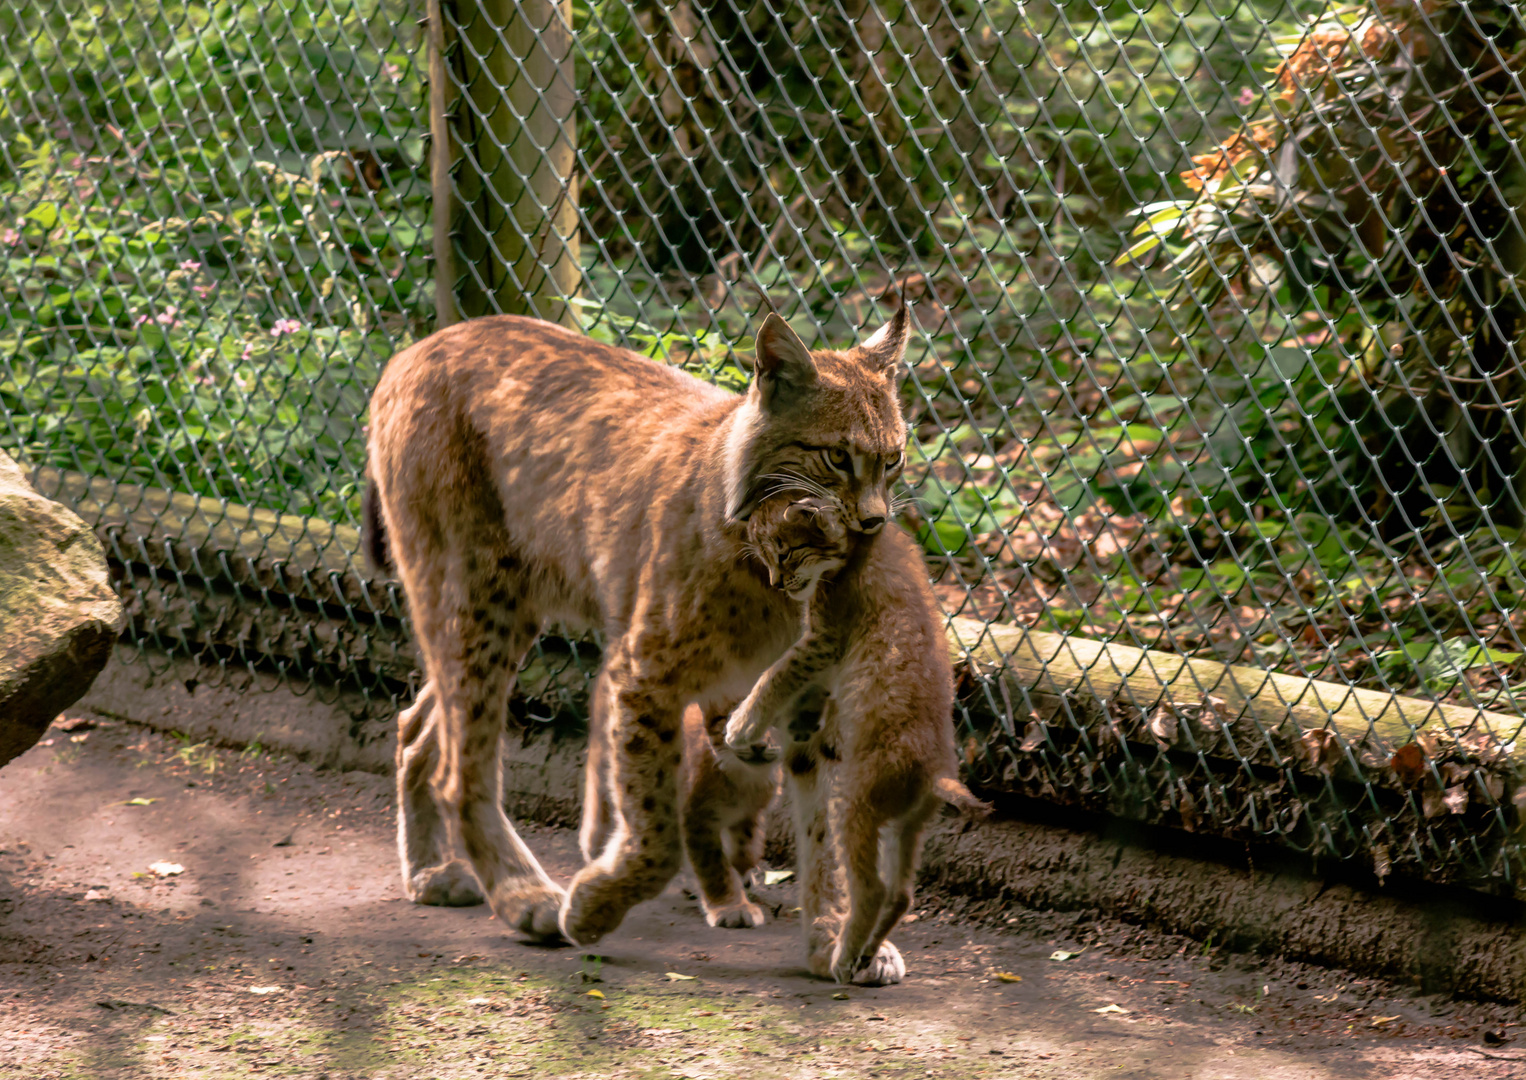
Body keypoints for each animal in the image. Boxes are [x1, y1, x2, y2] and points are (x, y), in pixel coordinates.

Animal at [726, 494, 988, 982]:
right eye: (766, 558)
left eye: (785, 553)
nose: (778, 585)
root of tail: (938, 770)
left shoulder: (823, 636)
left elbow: (776, 674)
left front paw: (742, 725)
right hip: (908, 824)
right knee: (901, 892)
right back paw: (866, 954)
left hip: (853, 804)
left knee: (871, 888)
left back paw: (846, 957)